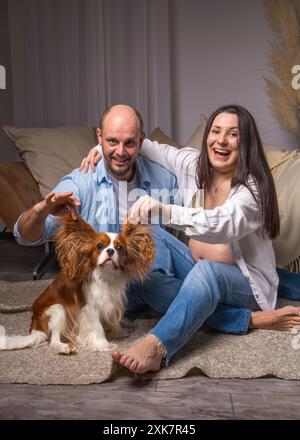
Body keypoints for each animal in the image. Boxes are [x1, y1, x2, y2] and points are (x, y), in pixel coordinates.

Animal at [2, 213, 156, 354]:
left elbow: (113, 319)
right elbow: (97, 327)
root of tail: (35, 328)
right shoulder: (90, 308)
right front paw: (103, 345)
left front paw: (118, 331)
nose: (110, 251)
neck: (105, 276)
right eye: (100, 246)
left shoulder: (111, 300)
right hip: (57, 310)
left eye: (120, 248)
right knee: (53, 341)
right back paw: (64, 347)